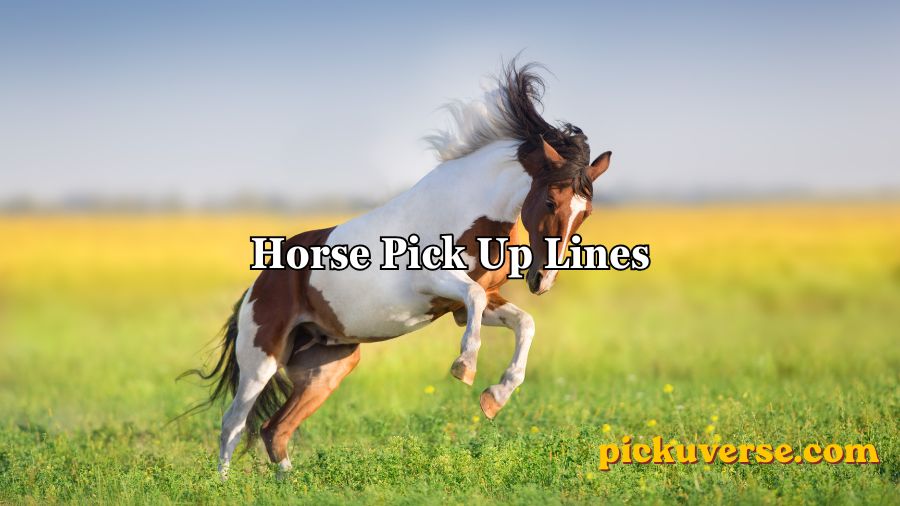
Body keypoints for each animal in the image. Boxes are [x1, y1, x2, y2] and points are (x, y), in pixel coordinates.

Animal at [187, 61, 612, 479]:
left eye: (586, 212)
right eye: (551, 200)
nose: (543, 280)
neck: (467, 209)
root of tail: (258, 283)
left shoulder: (468, 306)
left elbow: (524, 323)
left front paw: (495, 398)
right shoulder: (438, 282)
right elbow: (476, 301)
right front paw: (464, 368)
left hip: (328, 367)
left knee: (274, 429)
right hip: (261, 358)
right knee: (233, 423)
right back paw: (223, 485)